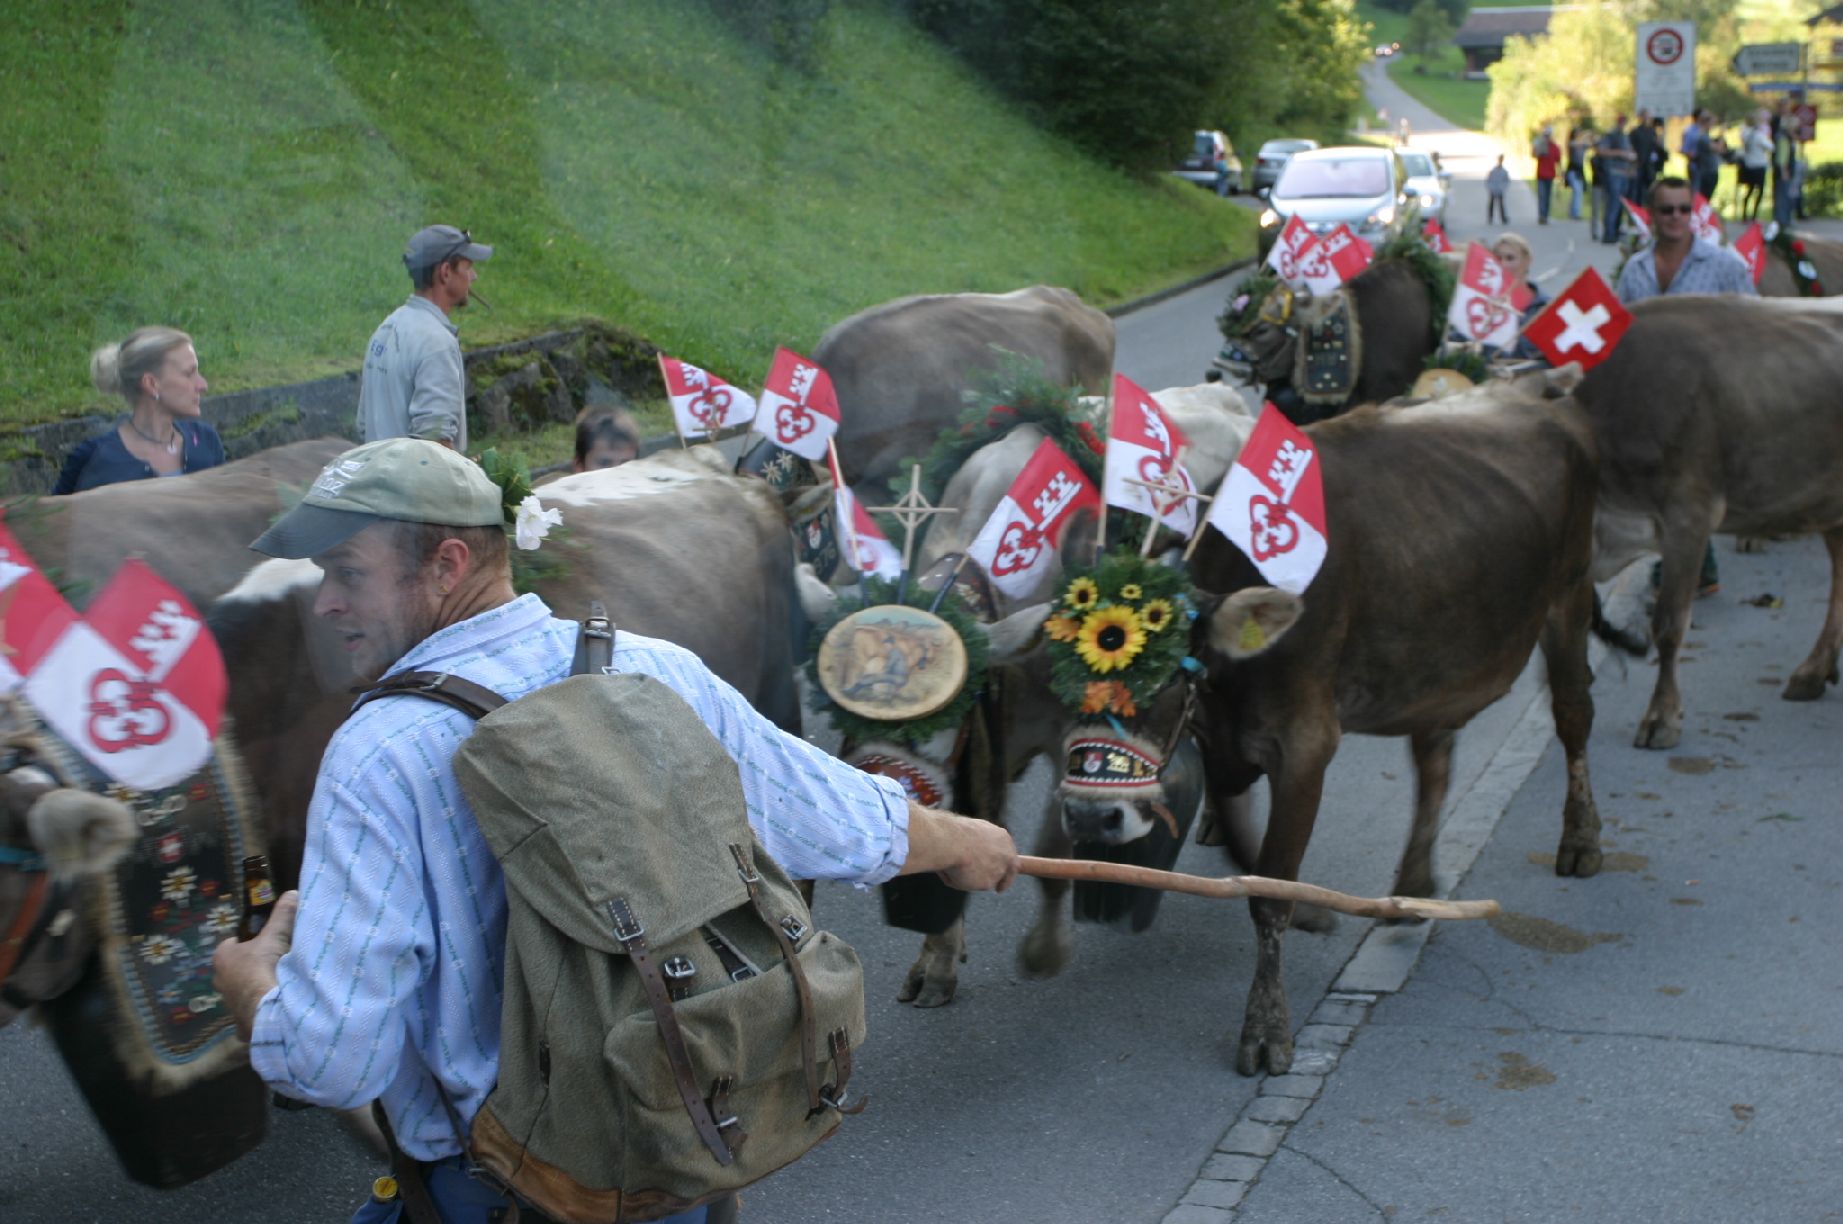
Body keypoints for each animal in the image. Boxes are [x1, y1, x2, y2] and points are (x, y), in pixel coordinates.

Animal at [1021, 378, 1623, 1076]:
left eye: (1167, 680)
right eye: (1060, 683)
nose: (1092, 817)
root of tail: (1537, 387)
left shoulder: (1305, 739)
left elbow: (1269, 886)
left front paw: (1266, 1029)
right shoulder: (1222, 738)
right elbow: (1243, 849)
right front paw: (1312, 912)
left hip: (1570, 596)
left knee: (1573, 714)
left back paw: (1580, 840)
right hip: (1436, 655)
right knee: (1434, 757)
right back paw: (1415, 887)